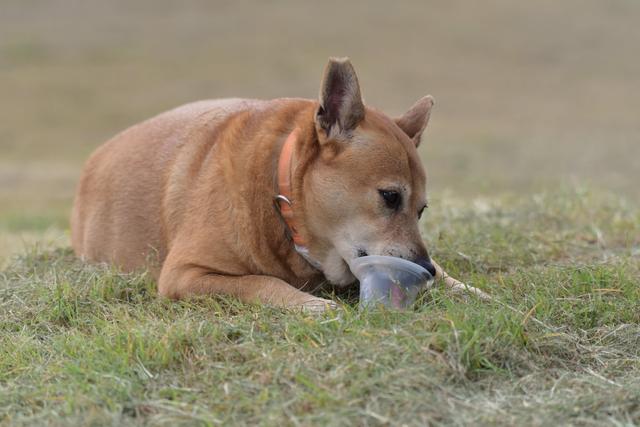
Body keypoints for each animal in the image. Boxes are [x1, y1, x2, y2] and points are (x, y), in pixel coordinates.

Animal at [71, 56, 484, 312]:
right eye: (390, 197)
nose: (424, 270)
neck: (283, 203)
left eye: (422, 209)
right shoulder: (185, 274)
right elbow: (259, 283)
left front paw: (466, 288)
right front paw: (310, 304)